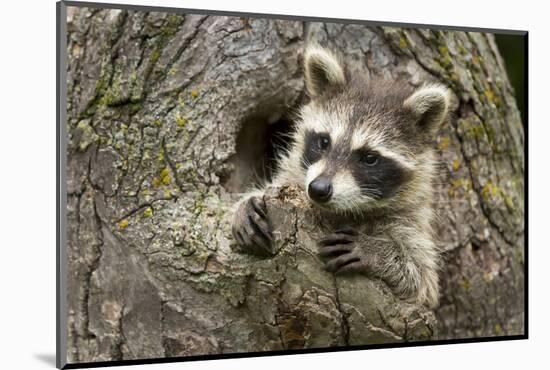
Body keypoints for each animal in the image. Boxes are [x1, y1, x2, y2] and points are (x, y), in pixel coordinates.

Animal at [231, 44, 450, 308]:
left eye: (369, 158)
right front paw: (245, 203)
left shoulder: (410, 220)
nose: (318, 189)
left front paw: (377, 251)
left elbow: (422, 279)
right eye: (324, 141)